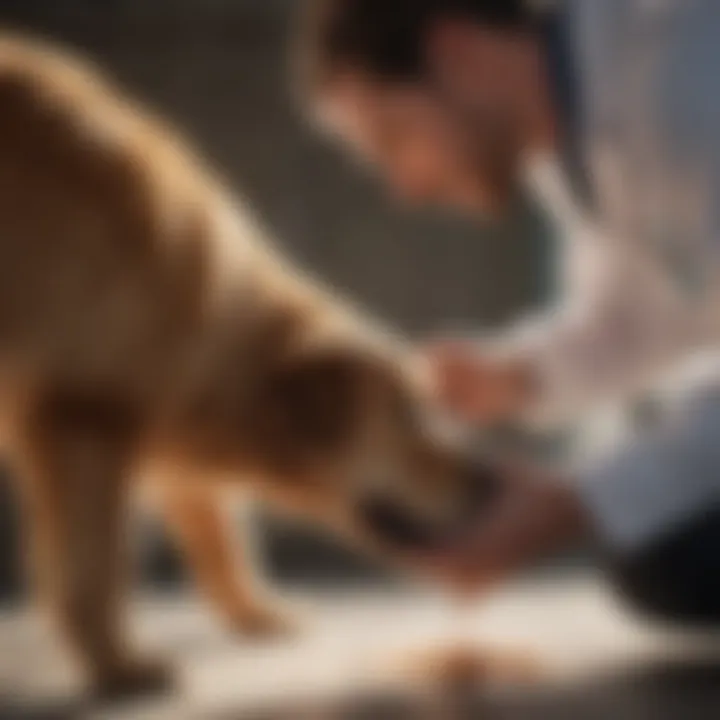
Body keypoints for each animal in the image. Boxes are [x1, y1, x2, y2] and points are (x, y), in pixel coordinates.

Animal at [0, 32, 496, 696]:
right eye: (409, 415)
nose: (488, 484)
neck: (203, 301)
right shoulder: (80, 417)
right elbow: (94, 567)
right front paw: (115, 664)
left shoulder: (153, 420)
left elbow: (218, 530)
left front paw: (254, 610)